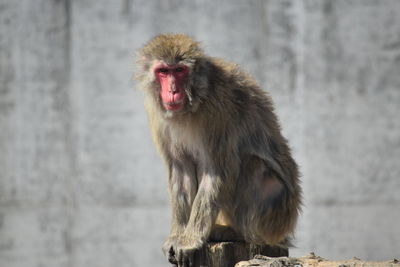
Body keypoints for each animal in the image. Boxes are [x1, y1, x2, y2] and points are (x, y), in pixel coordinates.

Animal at [136, 34, 302, 267]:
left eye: (179, 70)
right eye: (163, 71)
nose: (172, 91)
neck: (195, 100)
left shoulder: (218, 111)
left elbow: (217, 171)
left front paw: (189, 240)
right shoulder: (158, 116)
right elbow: (181, 169)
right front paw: (178, 235)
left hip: (278, 218)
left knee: (252, 165)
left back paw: (240, 233)